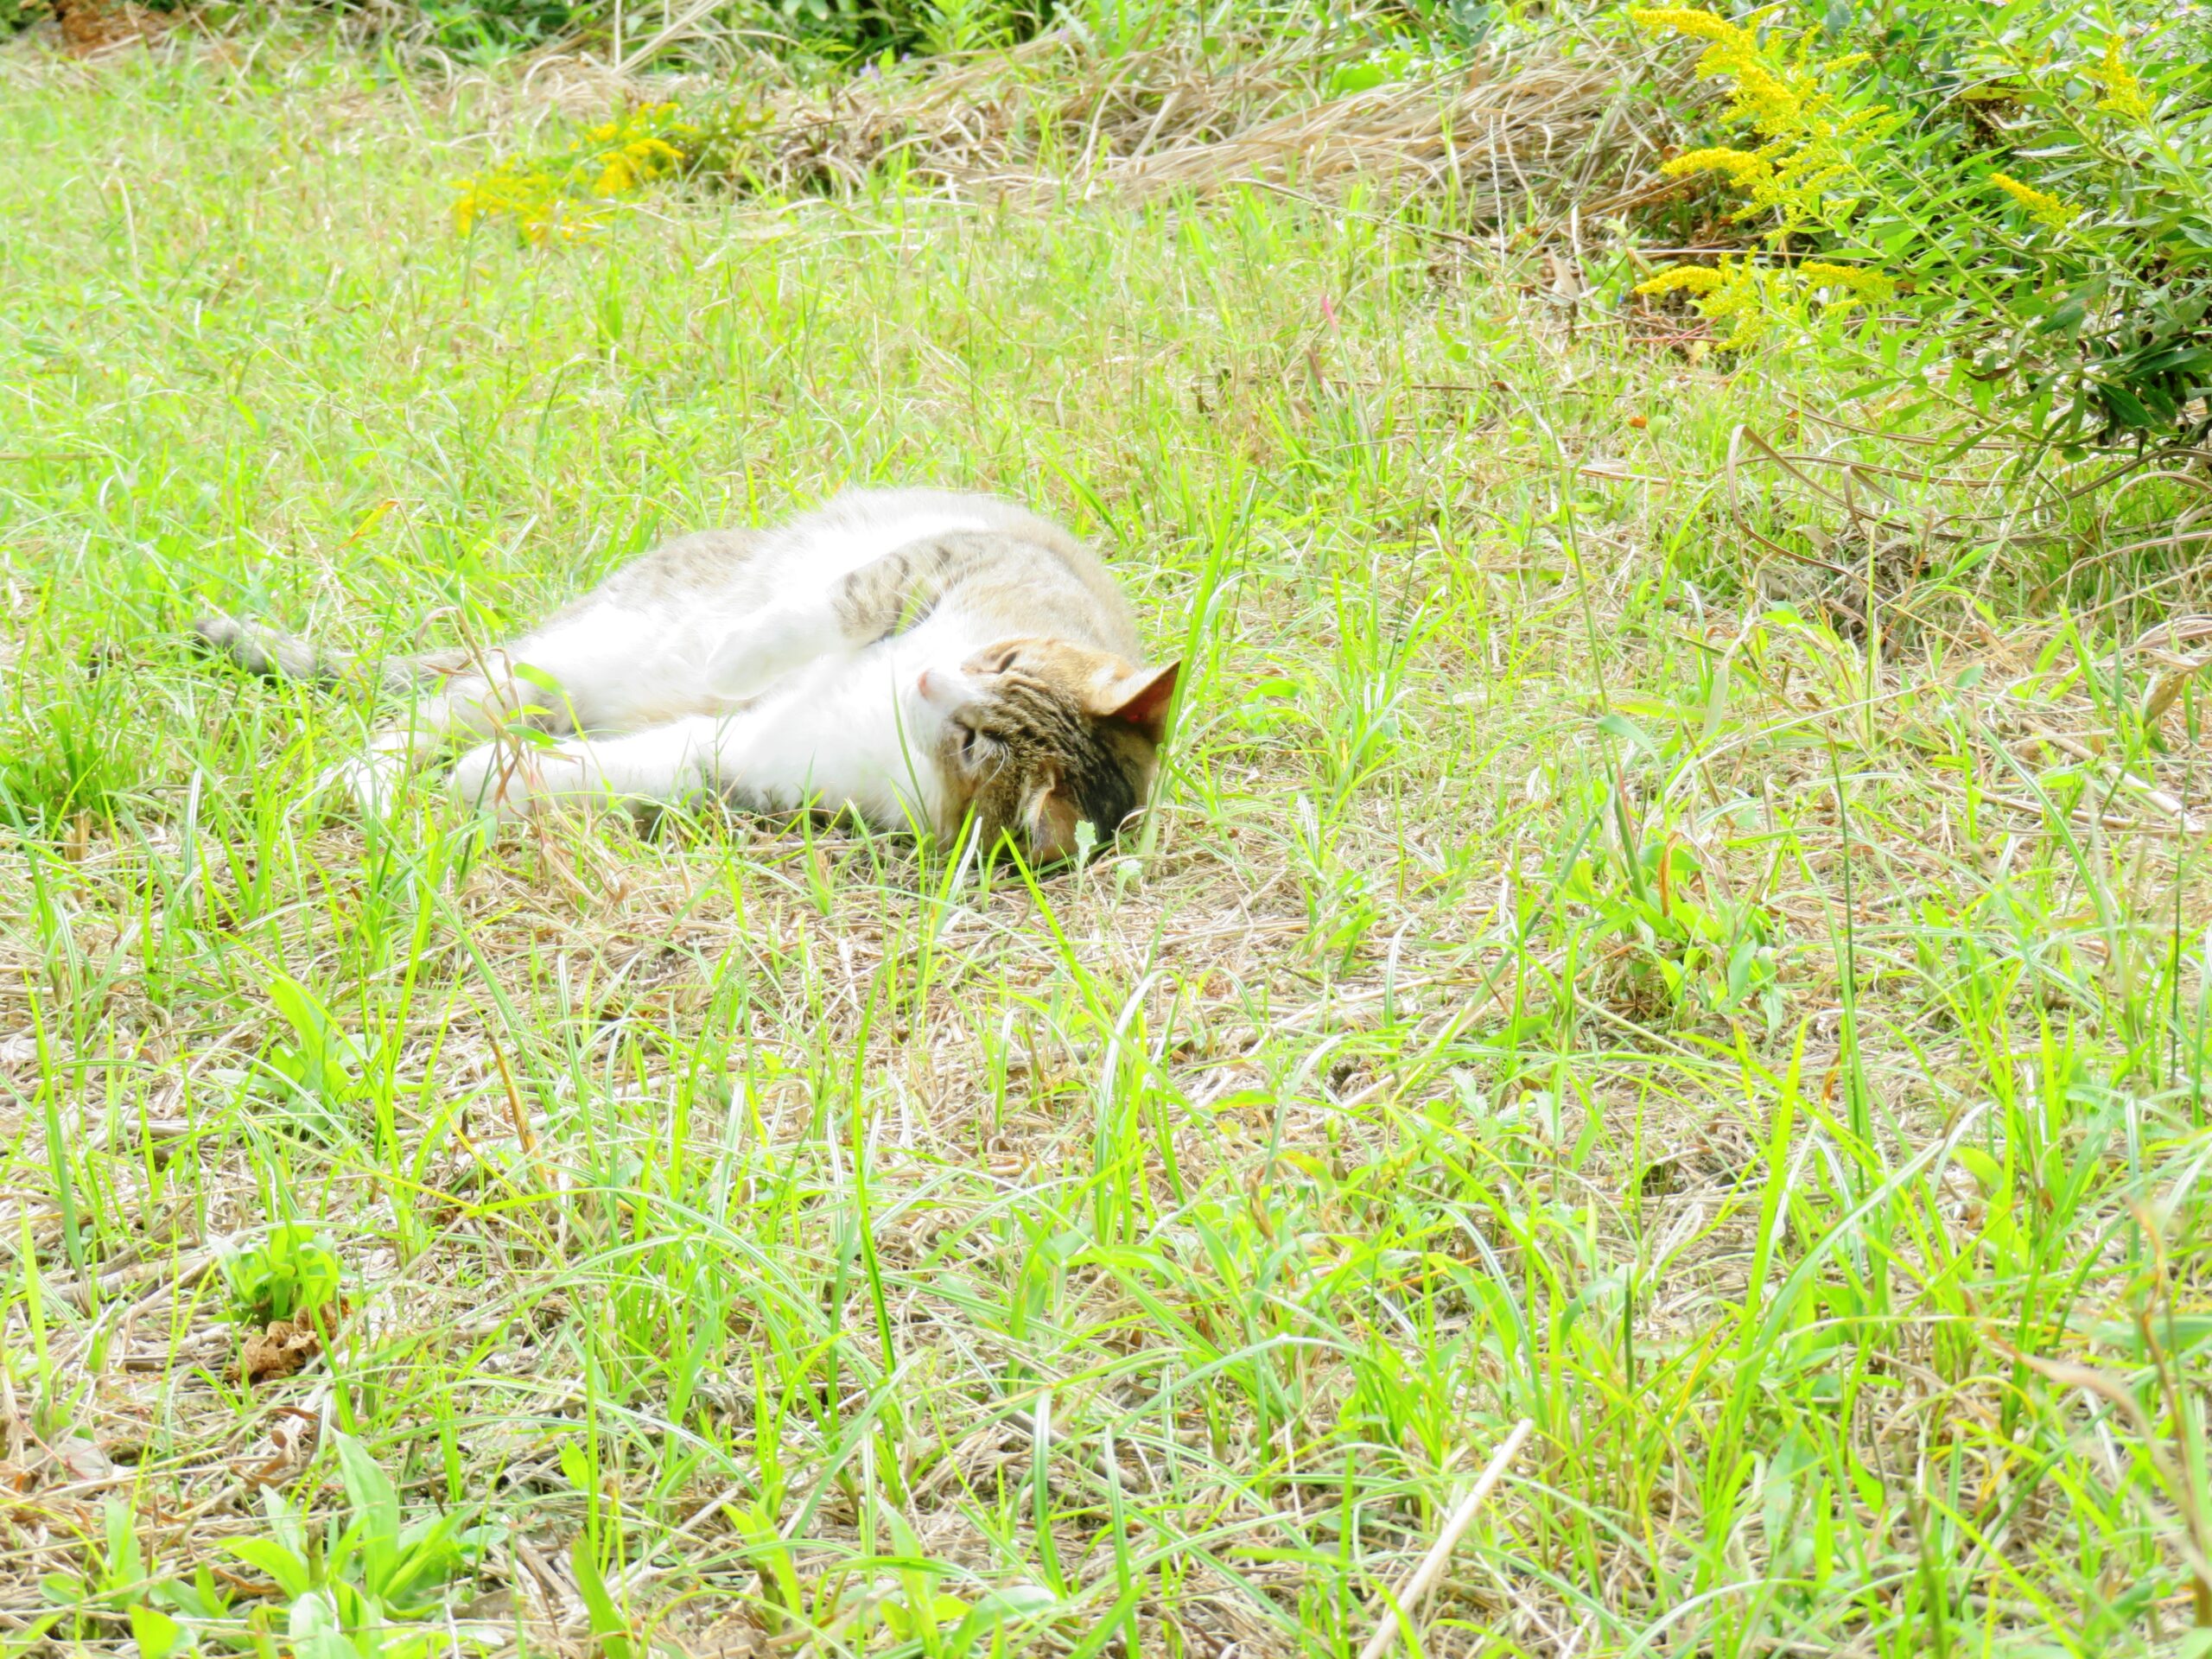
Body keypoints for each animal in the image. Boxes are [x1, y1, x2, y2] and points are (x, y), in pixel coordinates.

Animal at [199, 486, 1185, 862]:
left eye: (978, 744)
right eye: (1002, 656)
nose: (926, 682)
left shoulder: (742, 758)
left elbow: (626, 769)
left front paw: (495, 785)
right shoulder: (944, 562)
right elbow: (834, 606)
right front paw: (737, 655)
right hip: (554, 663)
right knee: (424, 714)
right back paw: (358, 785)